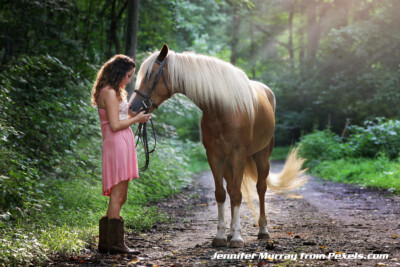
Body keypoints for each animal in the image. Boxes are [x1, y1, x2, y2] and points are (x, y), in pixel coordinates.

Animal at [130, 44, 306, 249]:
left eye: (151, 74)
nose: (132, 108)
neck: (223, 109)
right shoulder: (214, 156)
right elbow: (221, 194)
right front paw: (221, 236)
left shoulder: (238, 155)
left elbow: (237, 194)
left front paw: (237, 238)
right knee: (231, 188)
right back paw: (230, 232)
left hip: (262, 156)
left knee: (261, 188)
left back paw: (263, 230)